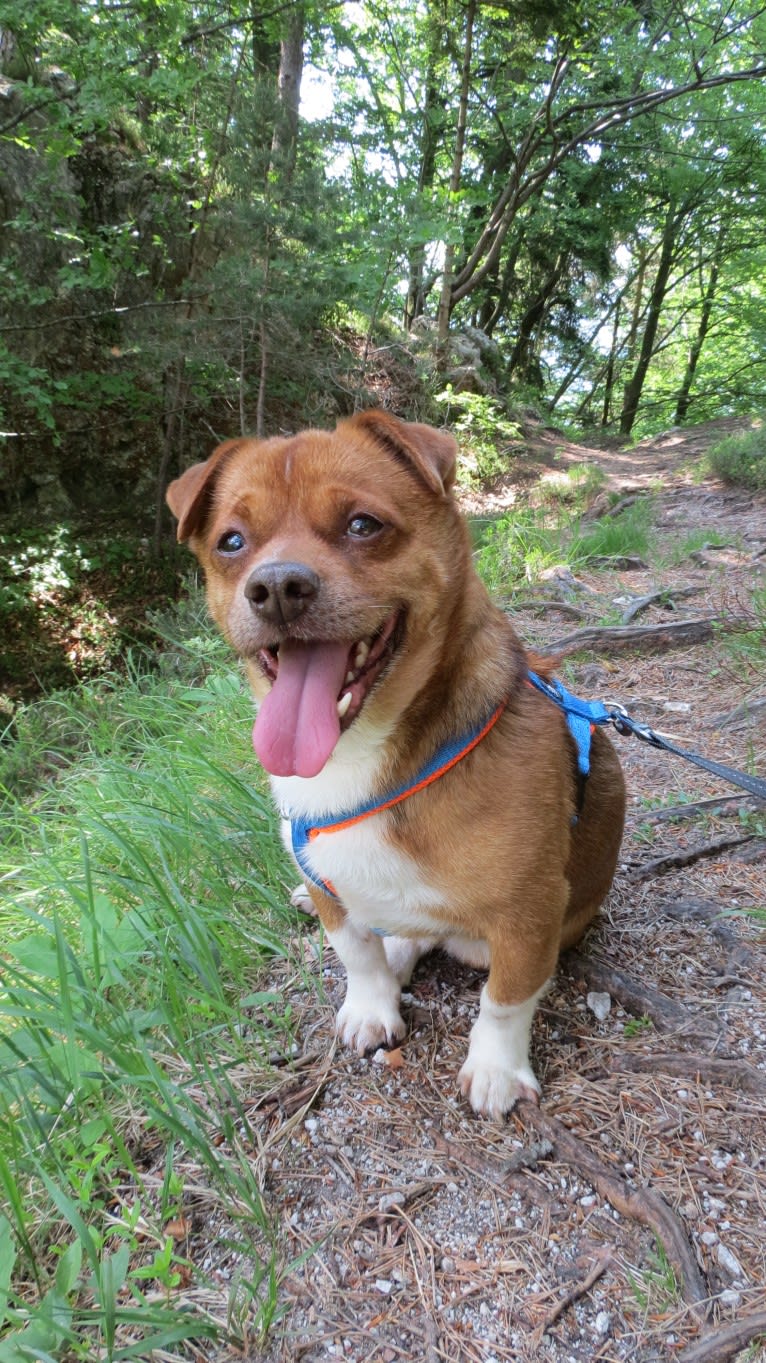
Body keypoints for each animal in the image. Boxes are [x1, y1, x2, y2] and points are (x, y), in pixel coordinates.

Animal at [165, 408, 621, 1112]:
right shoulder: (327, 883)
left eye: (363, 525)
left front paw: (496, 1067)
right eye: (232, 542)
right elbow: (356, 953)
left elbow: (505, 1000)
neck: (357, 757)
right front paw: (371, 1005)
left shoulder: (528, 916)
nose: (276, 587)